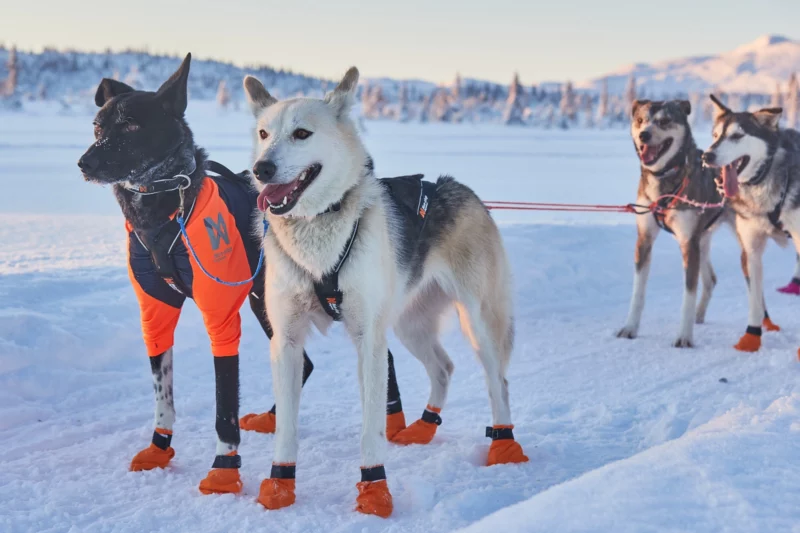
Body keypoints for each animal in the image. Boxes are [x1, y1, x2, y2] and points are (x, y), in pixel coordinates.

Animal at [77, 54, 325, 494]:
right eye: (97, 126)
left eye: (132, 125)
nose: (85, 162)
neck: (163, 208)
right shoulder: (156, 309)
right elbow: (163, 394)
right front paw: (159, 447)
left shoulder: (220, 318)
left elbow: (224, 406)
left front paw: (224, 467)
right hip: (266, 306)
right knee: (303, 365)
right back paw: (276, 417)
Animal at [243, 67, 529, 518]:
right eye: (264, 132)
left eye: (302, 133)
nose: (261, 169)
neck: (319, 229)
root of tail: (463, 190)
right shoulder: (286, 341)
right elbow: (286, 426)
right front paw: (279, 485)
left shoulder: (369, 343)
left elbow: (371, 429)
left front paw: (374, 490)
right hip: (410, 327)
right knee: (444, 367)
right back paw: (424, 428)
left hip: (478, 323)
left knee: (497, 381)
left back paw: (505, 445)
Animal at [702, 95, 800, 353]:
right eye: (715, 135)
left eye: (738, 135)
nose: (707, 156)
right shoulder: (752, 249)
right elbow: (755, 298)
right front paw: (751, 337)